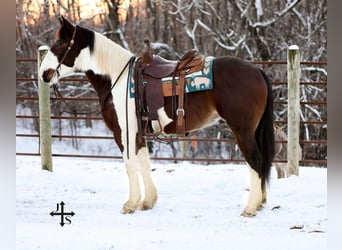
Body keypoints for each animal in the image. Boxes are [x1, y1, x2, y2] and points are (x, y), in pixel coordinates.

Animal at [39, 16, 276, 218]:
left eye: (60, 43)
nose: (44, 74)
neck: (117, 78)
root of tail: (257, 71)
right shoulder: (139, 134)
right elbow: (144, 163)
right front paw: (148, 202)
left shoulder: (123, 133)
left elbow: (130, 165)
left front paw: (130, 204)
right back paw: (260, 202)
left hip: (242, 130)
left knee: (255, 160)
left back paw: (250, 208)